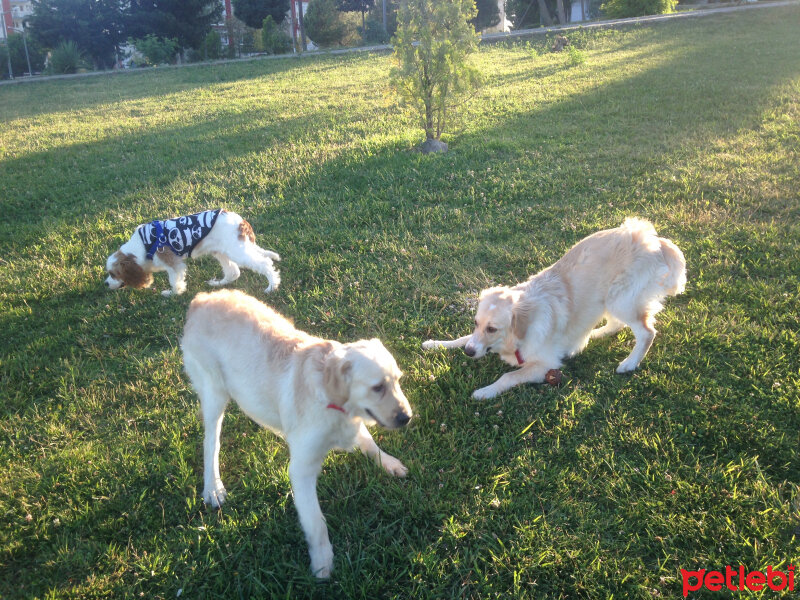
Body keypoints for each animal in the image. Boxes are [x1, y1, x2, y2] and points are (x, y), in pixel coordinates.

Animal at [104, 210, 282, 296]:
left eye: (113, 274)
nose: (105, 283)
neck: (143, 245)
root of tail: (240, 221)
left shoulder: (173, 264)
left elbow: (174, 281)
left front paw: (173, 294)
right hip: (221, 250)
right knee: (233, 272)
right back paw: (219, 284)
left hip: (237, 251)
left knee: (265, 263)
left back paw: (272, 286)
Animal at [181, 288, 412, 580]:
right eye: (377, 387)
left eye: (398, 381)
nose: (407, 418)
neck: (334, 402)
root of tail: (200, 299)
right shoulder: (301, 469)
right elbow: (315, 522)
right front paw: (323, 563)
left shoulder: (352, 425)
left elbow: (369, 443)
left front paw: (389, 463)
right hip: (213, 391)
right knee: (211, 441)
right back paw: (213, 487)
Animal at [422, 218, 684, 400]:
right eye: (477, 323)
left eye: (493, 329)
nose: (468, 353)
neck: (520, 333)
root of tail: (654, 239)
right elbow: (461, 338)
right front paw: (436, 344)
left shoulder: (545, 365)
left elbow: (508, 376)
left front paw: (485, 391)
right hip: (609, 299)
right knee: (617, 324)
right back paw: (594, 335)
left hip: (620, 299)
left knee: (646, 333)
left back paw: (629, 363)